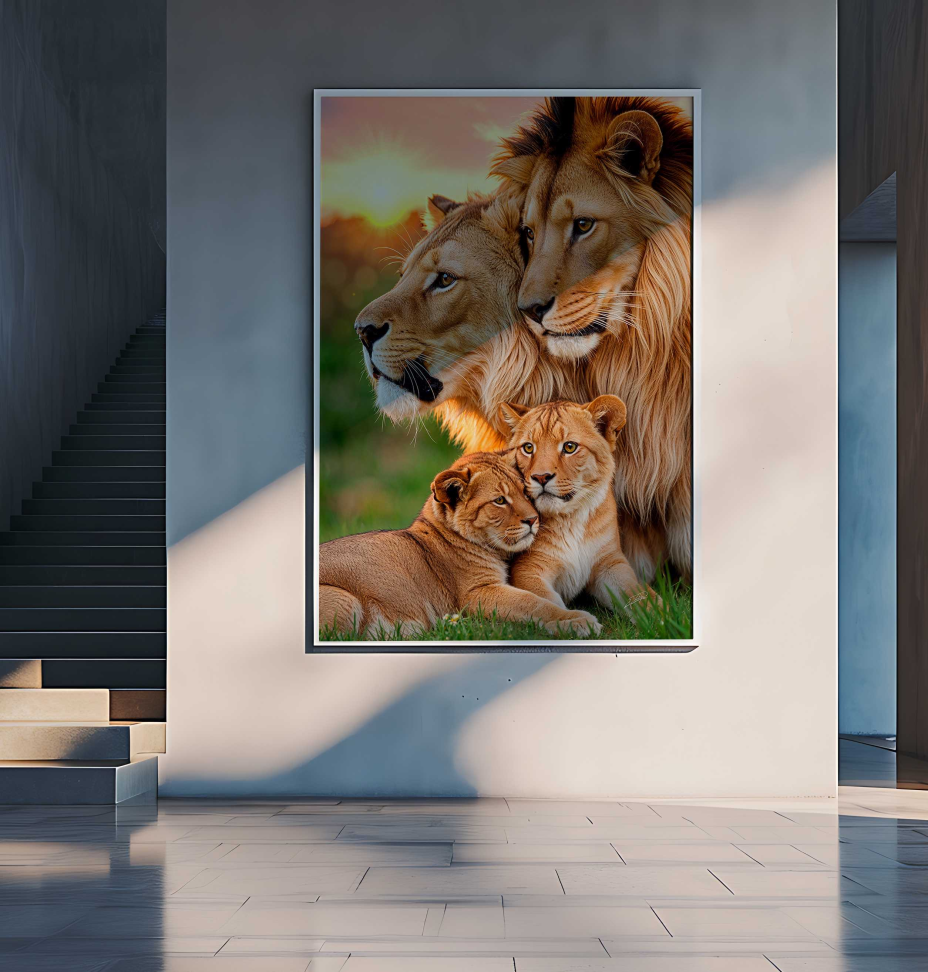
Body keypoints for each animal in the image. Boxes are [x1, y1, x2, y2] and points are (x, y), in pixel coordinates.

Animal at [319, 451, 601, 638]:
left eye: (524, 492)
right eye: (500, 500)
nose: (533, 520)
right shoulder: (475, 594)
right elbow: (532, 603)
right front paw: (578, 621)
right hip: (345, 600)